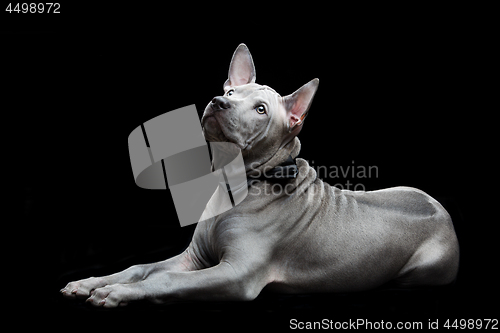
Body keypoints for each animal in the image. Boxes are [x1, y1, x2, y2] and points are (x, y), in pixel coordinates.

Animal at [60, 43, 458, 306]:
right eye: (231, 90)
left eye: (261, 109)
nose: (219, 102)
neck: (234, 183)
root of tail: (442, 210)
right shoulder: (194, 258)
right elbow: (141, 266)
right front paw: (92, 281)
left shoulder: (234, 275)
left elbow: (165, 278)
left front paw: (117, 292)